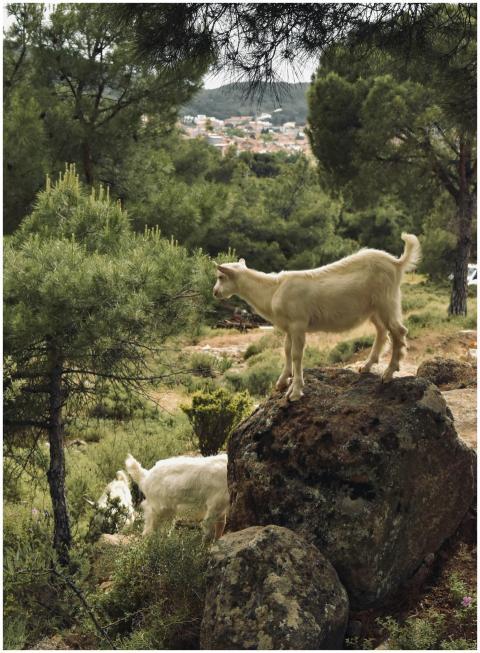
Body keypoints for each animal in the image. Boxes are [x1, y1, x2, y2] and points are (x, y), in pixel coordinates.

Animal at [213, 233, 421, 401]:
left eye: (221, 277)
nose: (215, 292)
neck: (273, 290)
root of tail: (397, 263)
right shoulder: (289, 327)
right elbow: (286, 351)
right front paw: (282, 382)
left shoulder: (298, 323)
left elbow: (297, 355)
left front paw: (295, 392)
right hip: (375, 308)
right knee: (382, 331)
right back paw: (367, 366)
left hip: (387, 301)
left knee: (399, 331)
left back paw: (388, 374)